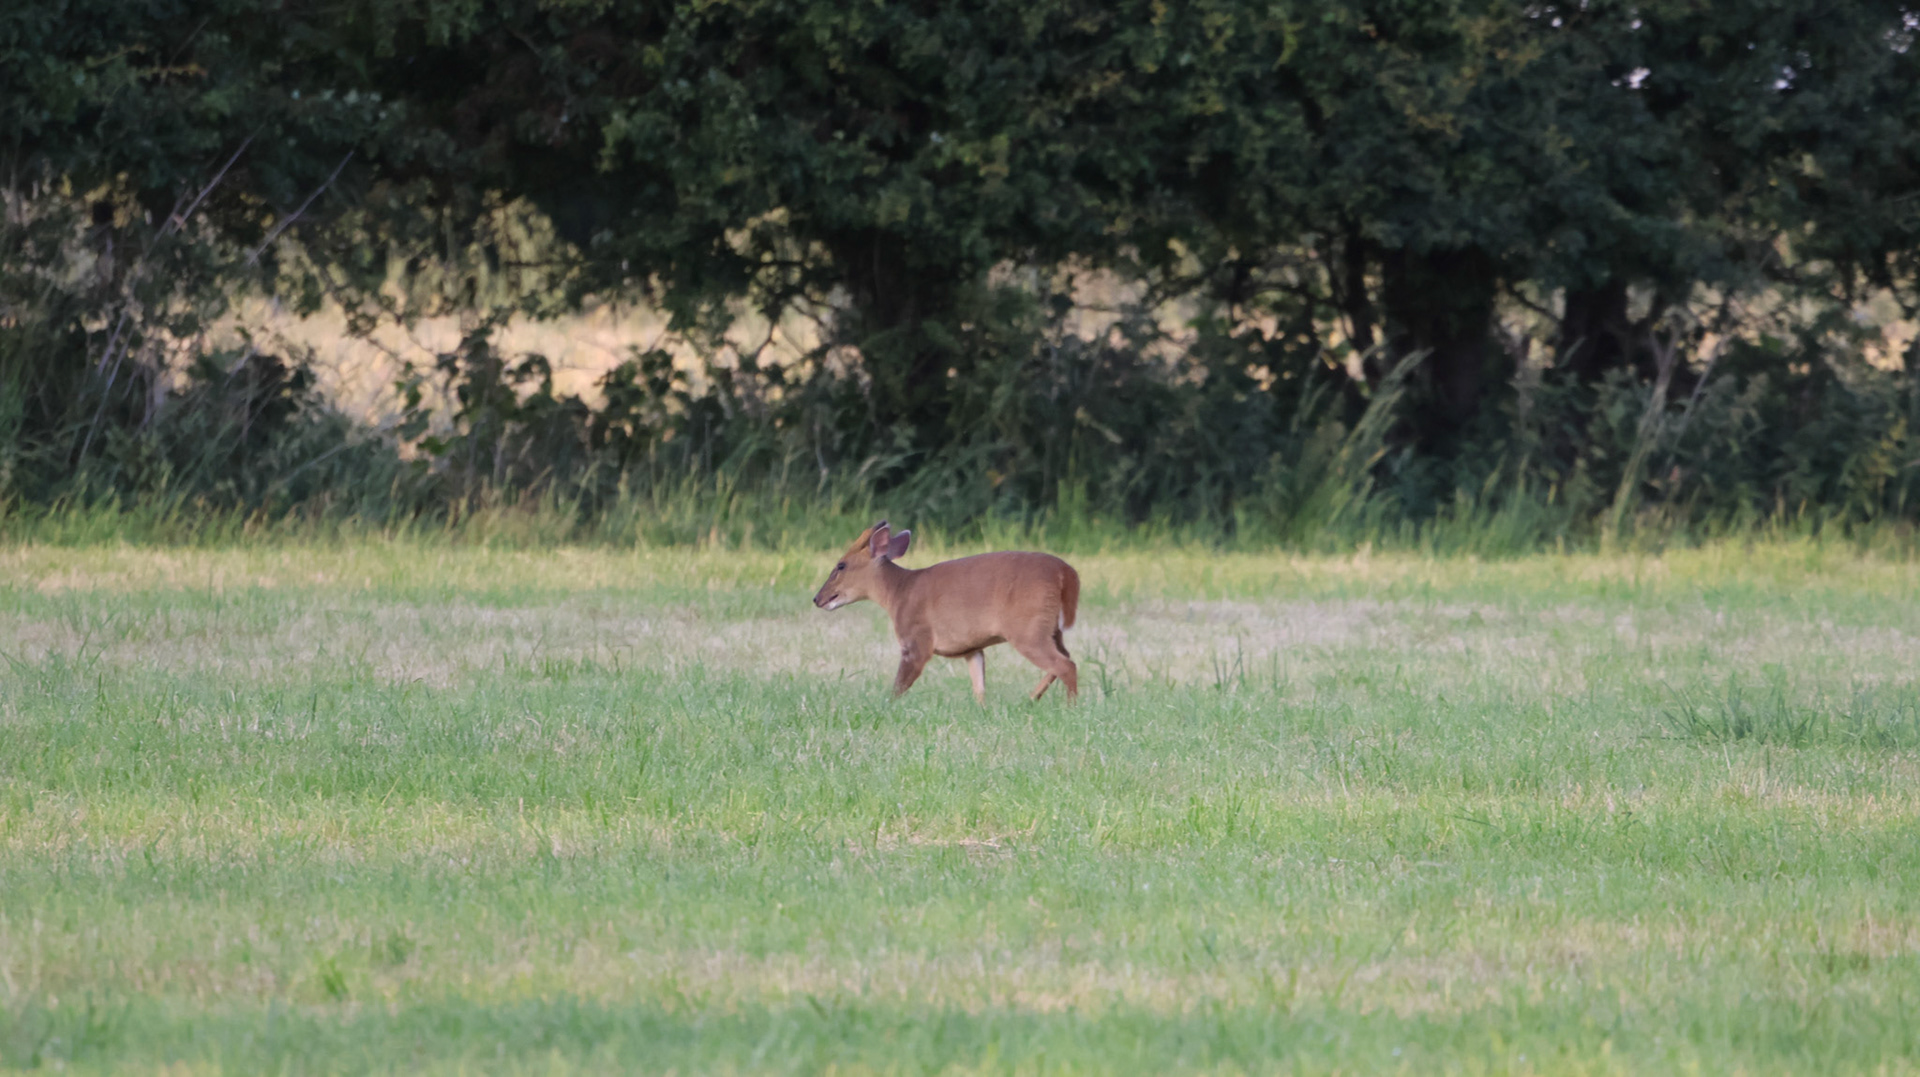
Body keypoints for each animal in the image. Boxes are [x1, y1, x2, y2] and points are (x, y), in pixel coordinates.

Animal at [812, 521, 1080, 703]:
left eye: (841, 565)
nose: (817, 598)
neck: (898, 592)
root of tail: (1066, 573)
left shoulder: (916, 640)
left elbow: (897, 688)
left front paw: (886, 706)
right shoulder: (972, 648)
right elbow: (979, 687)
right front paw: (983, 709)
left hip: (1028, 628)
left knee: (1066, 664)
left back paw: (1069, 706)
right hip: (1051, 628)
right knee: (1065, 658)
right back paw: (1031, 698)